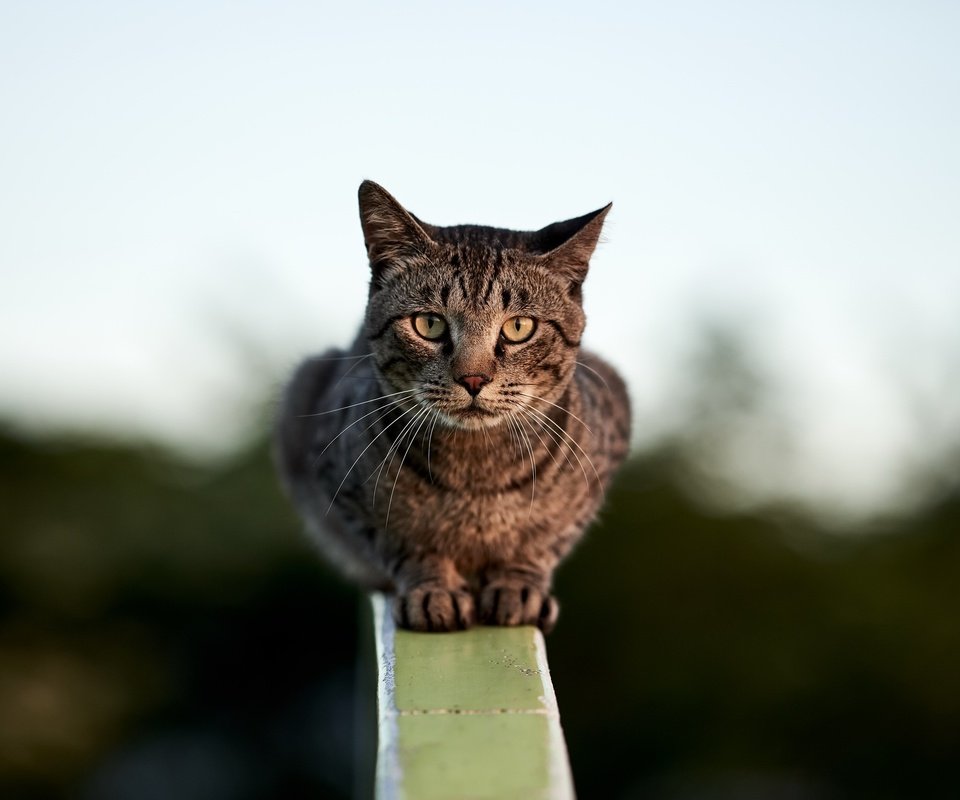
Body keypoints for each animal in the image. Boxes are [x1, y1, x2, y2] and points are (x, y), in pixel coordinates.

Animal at [274, 181, 632, 632]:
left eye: (519, 327)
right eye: (430, 324)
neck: (476, 478)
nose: (473, 379)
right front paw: (432, 589)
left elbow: (541, 544)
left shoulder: (596, 468)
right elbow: (405, 545)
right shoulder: (342, 486)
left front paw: (519, 585)